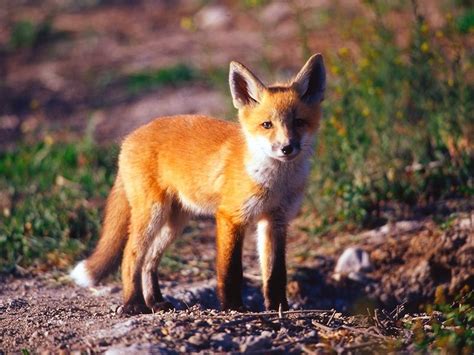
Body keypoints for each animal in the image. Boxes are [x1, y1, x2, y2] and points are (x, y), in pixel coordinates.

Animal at [70, 52, 326, 314]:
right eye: (267, 125)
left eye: (299, 122)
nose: (287, 148)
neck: (275, 183)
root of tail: (130, 136)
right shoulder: (230, 216)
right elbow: (231, 270)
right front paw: (233, 307)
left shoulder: (276, 221)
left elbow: (276, 273)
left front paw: (278, 307)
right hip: (153, 214)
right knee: (131, 256)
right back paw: (133, 303)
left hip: (175, 222)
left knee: (150, 261)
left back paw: (156, 301)